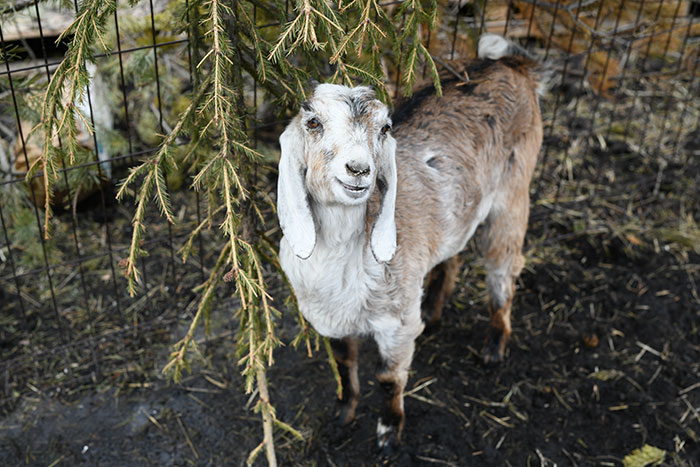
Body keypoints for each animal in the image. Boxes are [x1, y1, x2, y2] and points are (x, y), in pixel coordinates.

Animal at [277, 34, 546, 451]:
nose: (359, 169)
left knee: (504, 267)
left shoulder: (397, 323)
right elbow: (344, 366)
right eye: (313, 123)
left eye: (384, 128)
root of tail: (509, 65)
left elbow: (389, 378)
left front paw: (389, 431)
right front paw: (342, 416)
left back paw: (494, 347)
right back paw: (433, 312)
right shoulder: (331, 320)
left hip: (513, 194)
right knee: (452, 253)